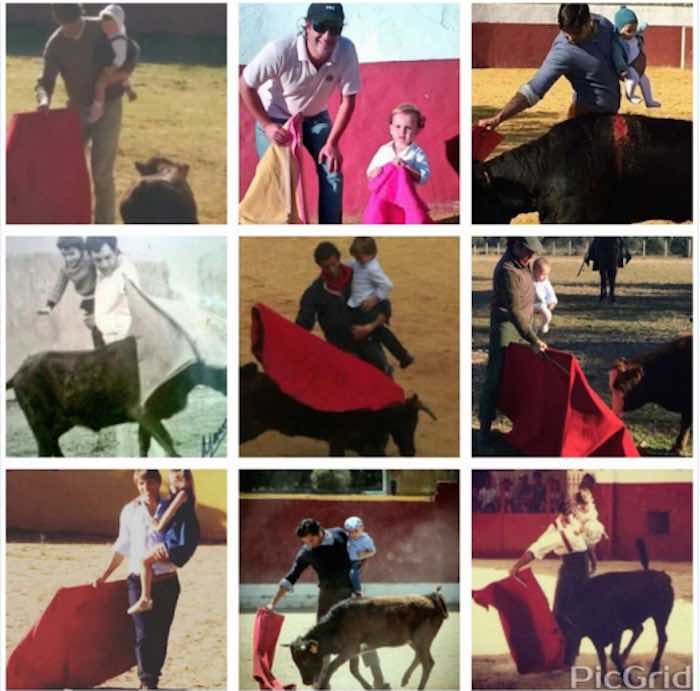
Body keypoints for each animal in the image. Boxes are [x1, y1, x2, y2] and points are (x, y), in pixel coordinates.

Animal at [6, 336, 227, 456]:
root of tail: (19, 371)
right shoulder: (144, 413)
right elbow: (168, 445)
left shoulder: (147, 417)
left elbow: (145, 446)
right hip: (39, 422)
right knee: (44, 449)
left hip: (62, 422)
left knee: (51, 445)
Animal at [286, 588, 446, 691]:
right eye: (296, 662)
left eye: (306, 660)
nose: (306, 682)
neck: (337, 624)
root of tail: (431, 599)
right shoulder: (356, 650)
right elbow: (353, 669)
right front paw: (368, 686)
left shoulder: (350, 649)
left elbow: (332, 667)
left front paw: (323, 686)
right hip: (414, 641)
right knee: (420, 657)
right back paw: (404, 680)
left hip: (421, 639)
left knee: (428, 663)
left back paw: (418, 686)